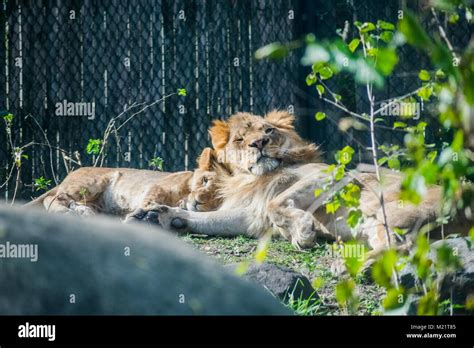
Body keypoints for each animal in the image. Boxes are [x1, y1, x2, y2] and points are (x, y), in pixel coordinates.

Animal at [25, 147, 225, 220]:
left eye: (217, 196)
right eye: (204, 180)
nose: (198, 201)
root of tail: (70, 174)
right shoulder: (158, 186)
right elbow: (149, 200)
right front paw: (143, 212)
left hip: (94, 201)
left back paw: (85, 212)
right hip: (91, 184)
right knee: (52, 198)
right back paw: (66, 211)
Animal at [143, 110, 468, 254]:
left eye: (268, 131)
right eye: (240, 139)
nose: (259, 143)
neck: (247, 179)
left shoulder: (331, 173)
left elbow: (277, 203)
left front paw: (303, 231)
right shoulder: (249, 215)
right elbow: (211, 220)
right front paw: (165, 215)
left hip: (389, 212)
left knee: (401, 251)